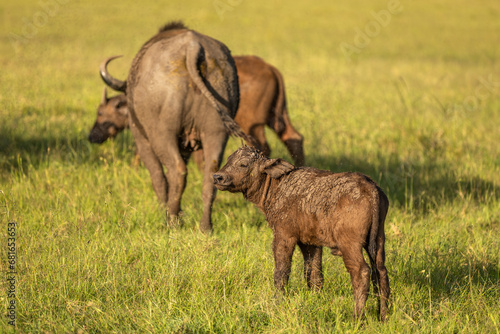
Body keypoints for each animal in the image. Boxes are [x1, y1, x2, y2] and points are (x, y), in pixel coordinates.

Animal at [89, 54, 304, 167]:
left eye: (101, 113)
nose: (92, 136)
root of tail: (268, 68)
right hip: (276, 116)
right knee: (293, 137)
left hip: (252, 124)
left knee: (262, 146)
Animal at [102, 22, 250, 234]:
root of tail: (192, 47)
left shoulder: (142, 140)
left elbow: (158, 176)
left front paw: (166, 209)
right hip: (216, 132)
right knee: (210, 176)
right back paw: (205, 226)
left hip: (161, 135)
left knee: (176, 171)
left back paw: (171, 220)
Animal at [212, 146, 390, 320]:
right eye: (228, 160)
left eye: (243, 164)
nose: (217, 177)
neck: (277, 186)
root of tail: (371, 188)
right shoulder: (310, 242)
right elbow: (314, 273)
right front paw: (316, 299)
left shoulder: (284, 236)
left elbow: (282, 272)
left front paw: (277, 302)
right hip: (378, 240)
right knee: (380, 271)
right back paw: (383, 315)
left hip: (350, 244)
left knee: (362, 271)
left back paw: (357, 317)